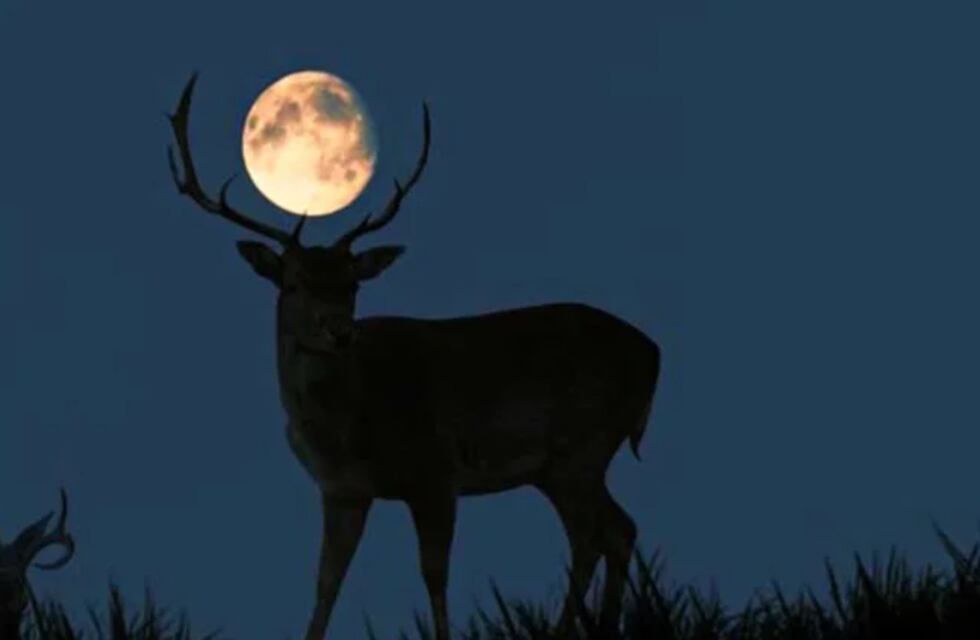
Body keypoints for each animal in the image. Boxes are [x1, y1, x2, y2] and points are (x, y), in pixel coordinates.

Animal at [166, 73, 661, 640]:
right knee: (616, 529)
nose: (340, 332)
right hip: (564, 464)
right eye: (292, 283)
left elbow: (434, 575)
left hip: (581, 445)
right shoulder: (342, 490)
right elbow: (326, 583)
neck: (349, 427)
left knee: (593, 535)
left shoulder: (436, 472)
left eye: (353, 284)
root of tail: (654, 354)